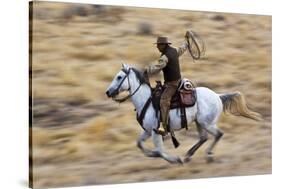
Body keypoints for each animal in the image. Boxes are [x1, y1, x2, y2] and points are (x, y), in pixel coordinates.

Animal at [105, 63, 260, 164]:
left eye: (119, 77)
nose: (108, 92)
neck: (145, 100)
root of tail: (217, 95)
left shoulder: (156, 132)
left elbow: (159, 150)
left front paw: (174, 159)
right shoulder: (148, 131)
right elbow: (140, 144)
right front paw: (152, 154)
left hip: (207, 123)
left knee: (218, 134)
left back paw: (207, 155)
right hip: (199, 123)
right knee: (204, 138)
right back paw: (189, 155)